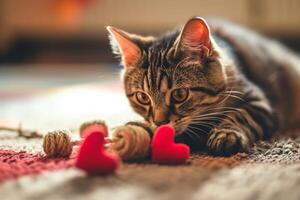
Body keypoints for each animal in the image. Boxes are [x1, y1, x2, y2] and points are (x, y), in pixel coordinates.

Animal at [107, 17, 300, 155]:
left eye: (179, 95)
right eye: (143, 98)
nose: (160, 123)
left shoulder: (258, 100)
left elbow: (242, 115)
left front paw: (226, 134)